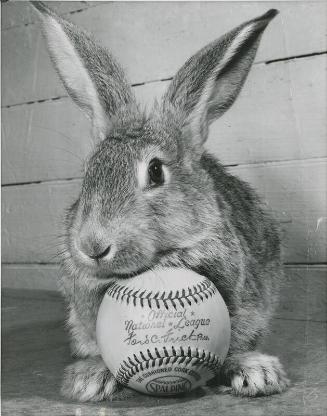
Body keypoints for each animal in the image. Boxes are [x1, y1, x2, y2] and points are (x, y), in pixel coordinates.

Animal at [32, 1, 290, 402]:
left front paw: (255, 373)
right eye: (88, 172)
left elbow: (234, 341)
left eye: (155, 172)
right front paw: (91, 379)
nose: (91, 245)